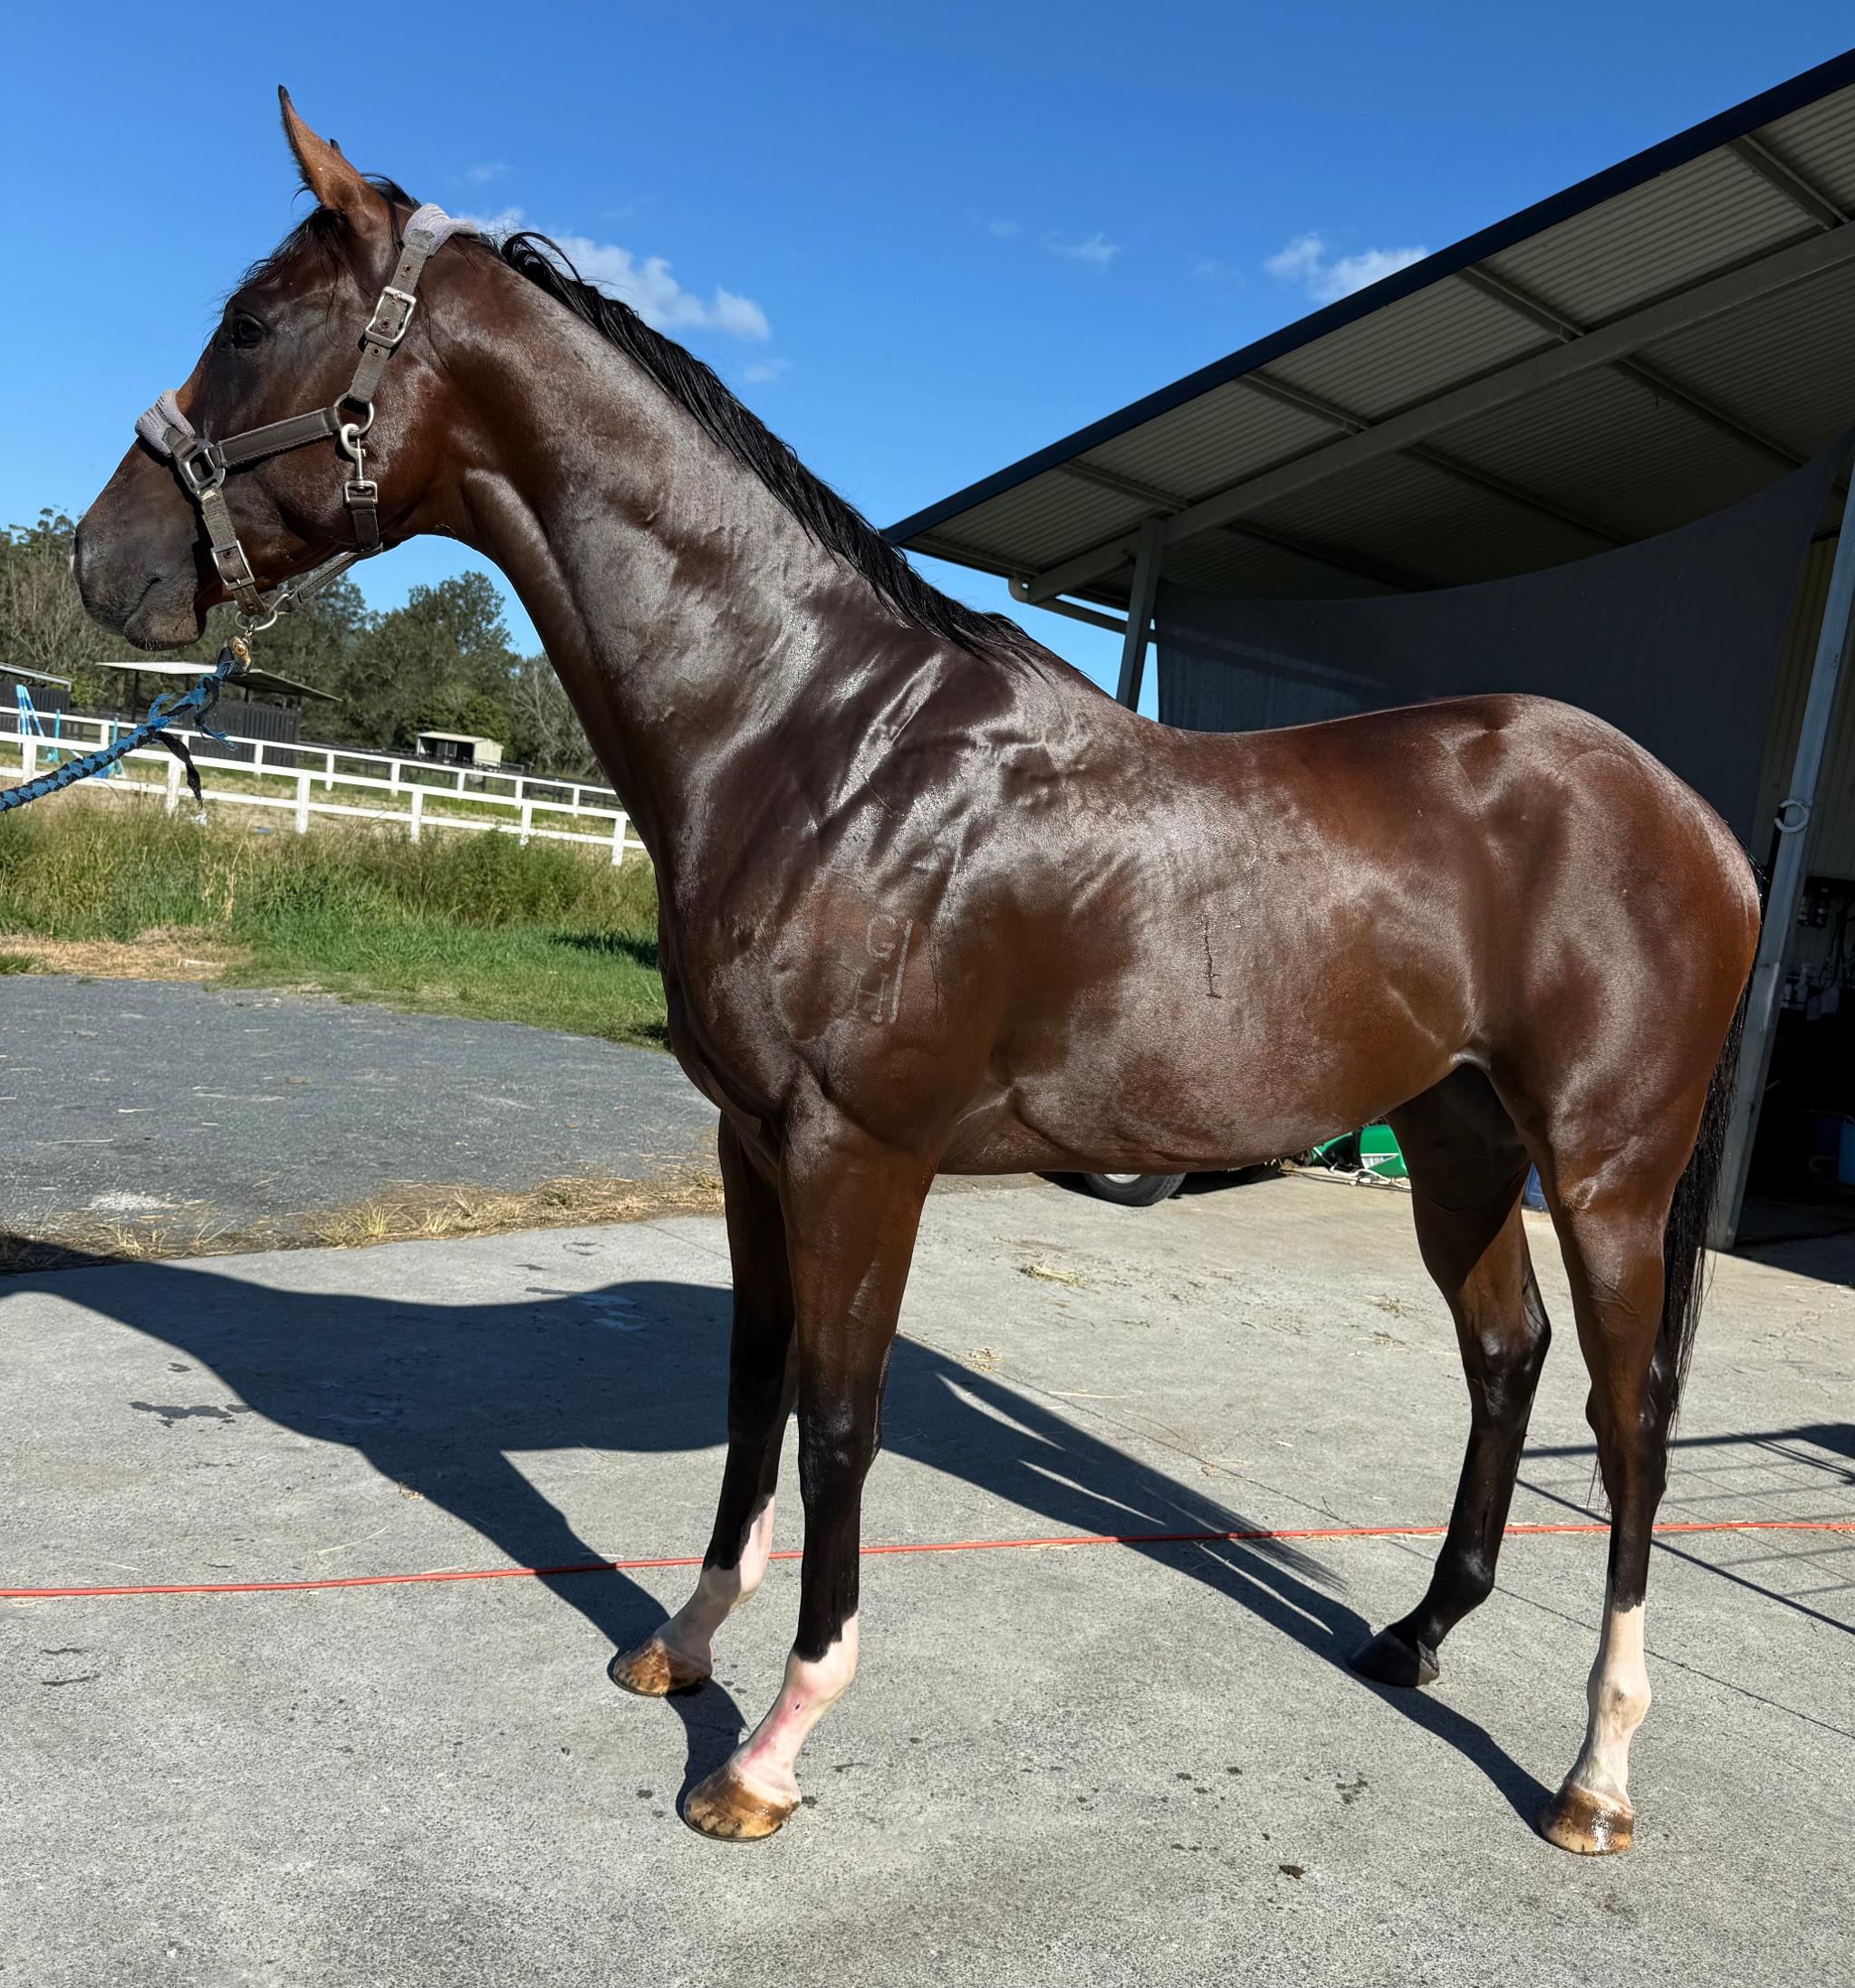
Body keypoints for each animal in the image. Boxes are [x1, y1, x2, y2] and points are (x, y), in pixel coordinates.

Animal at [74, 90, 1760, 1854]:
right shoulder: (751, 1145)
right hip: (1454, 1137)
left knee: (1629, 1429)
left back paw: (1593, 1772)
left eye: (249, 326)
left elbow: (837, 1419)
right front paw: (683, 1639)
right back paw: (1418, 1634)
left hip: (1605, 1175)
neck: (819, 742)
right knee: (1506, 1361)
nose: (102, 564)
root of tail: (1699, 822)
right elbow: (753, 1382)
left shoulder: (858, 1154)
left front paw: (769, 1746)